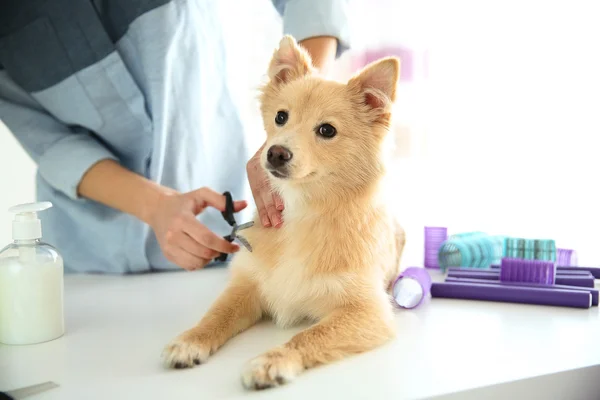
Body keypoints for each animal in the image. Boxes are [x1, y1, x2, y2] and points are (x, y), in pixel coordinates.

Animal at [163, 35, 408, 390]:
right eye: (280, 117)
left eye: (327, 131)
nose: (276, 153)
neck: (300, 208)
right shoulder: (247, 286)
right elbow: (216, 314)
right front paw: (191, 340)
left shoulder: (367, 311)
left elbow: (310, 335)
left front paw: (273, 360)